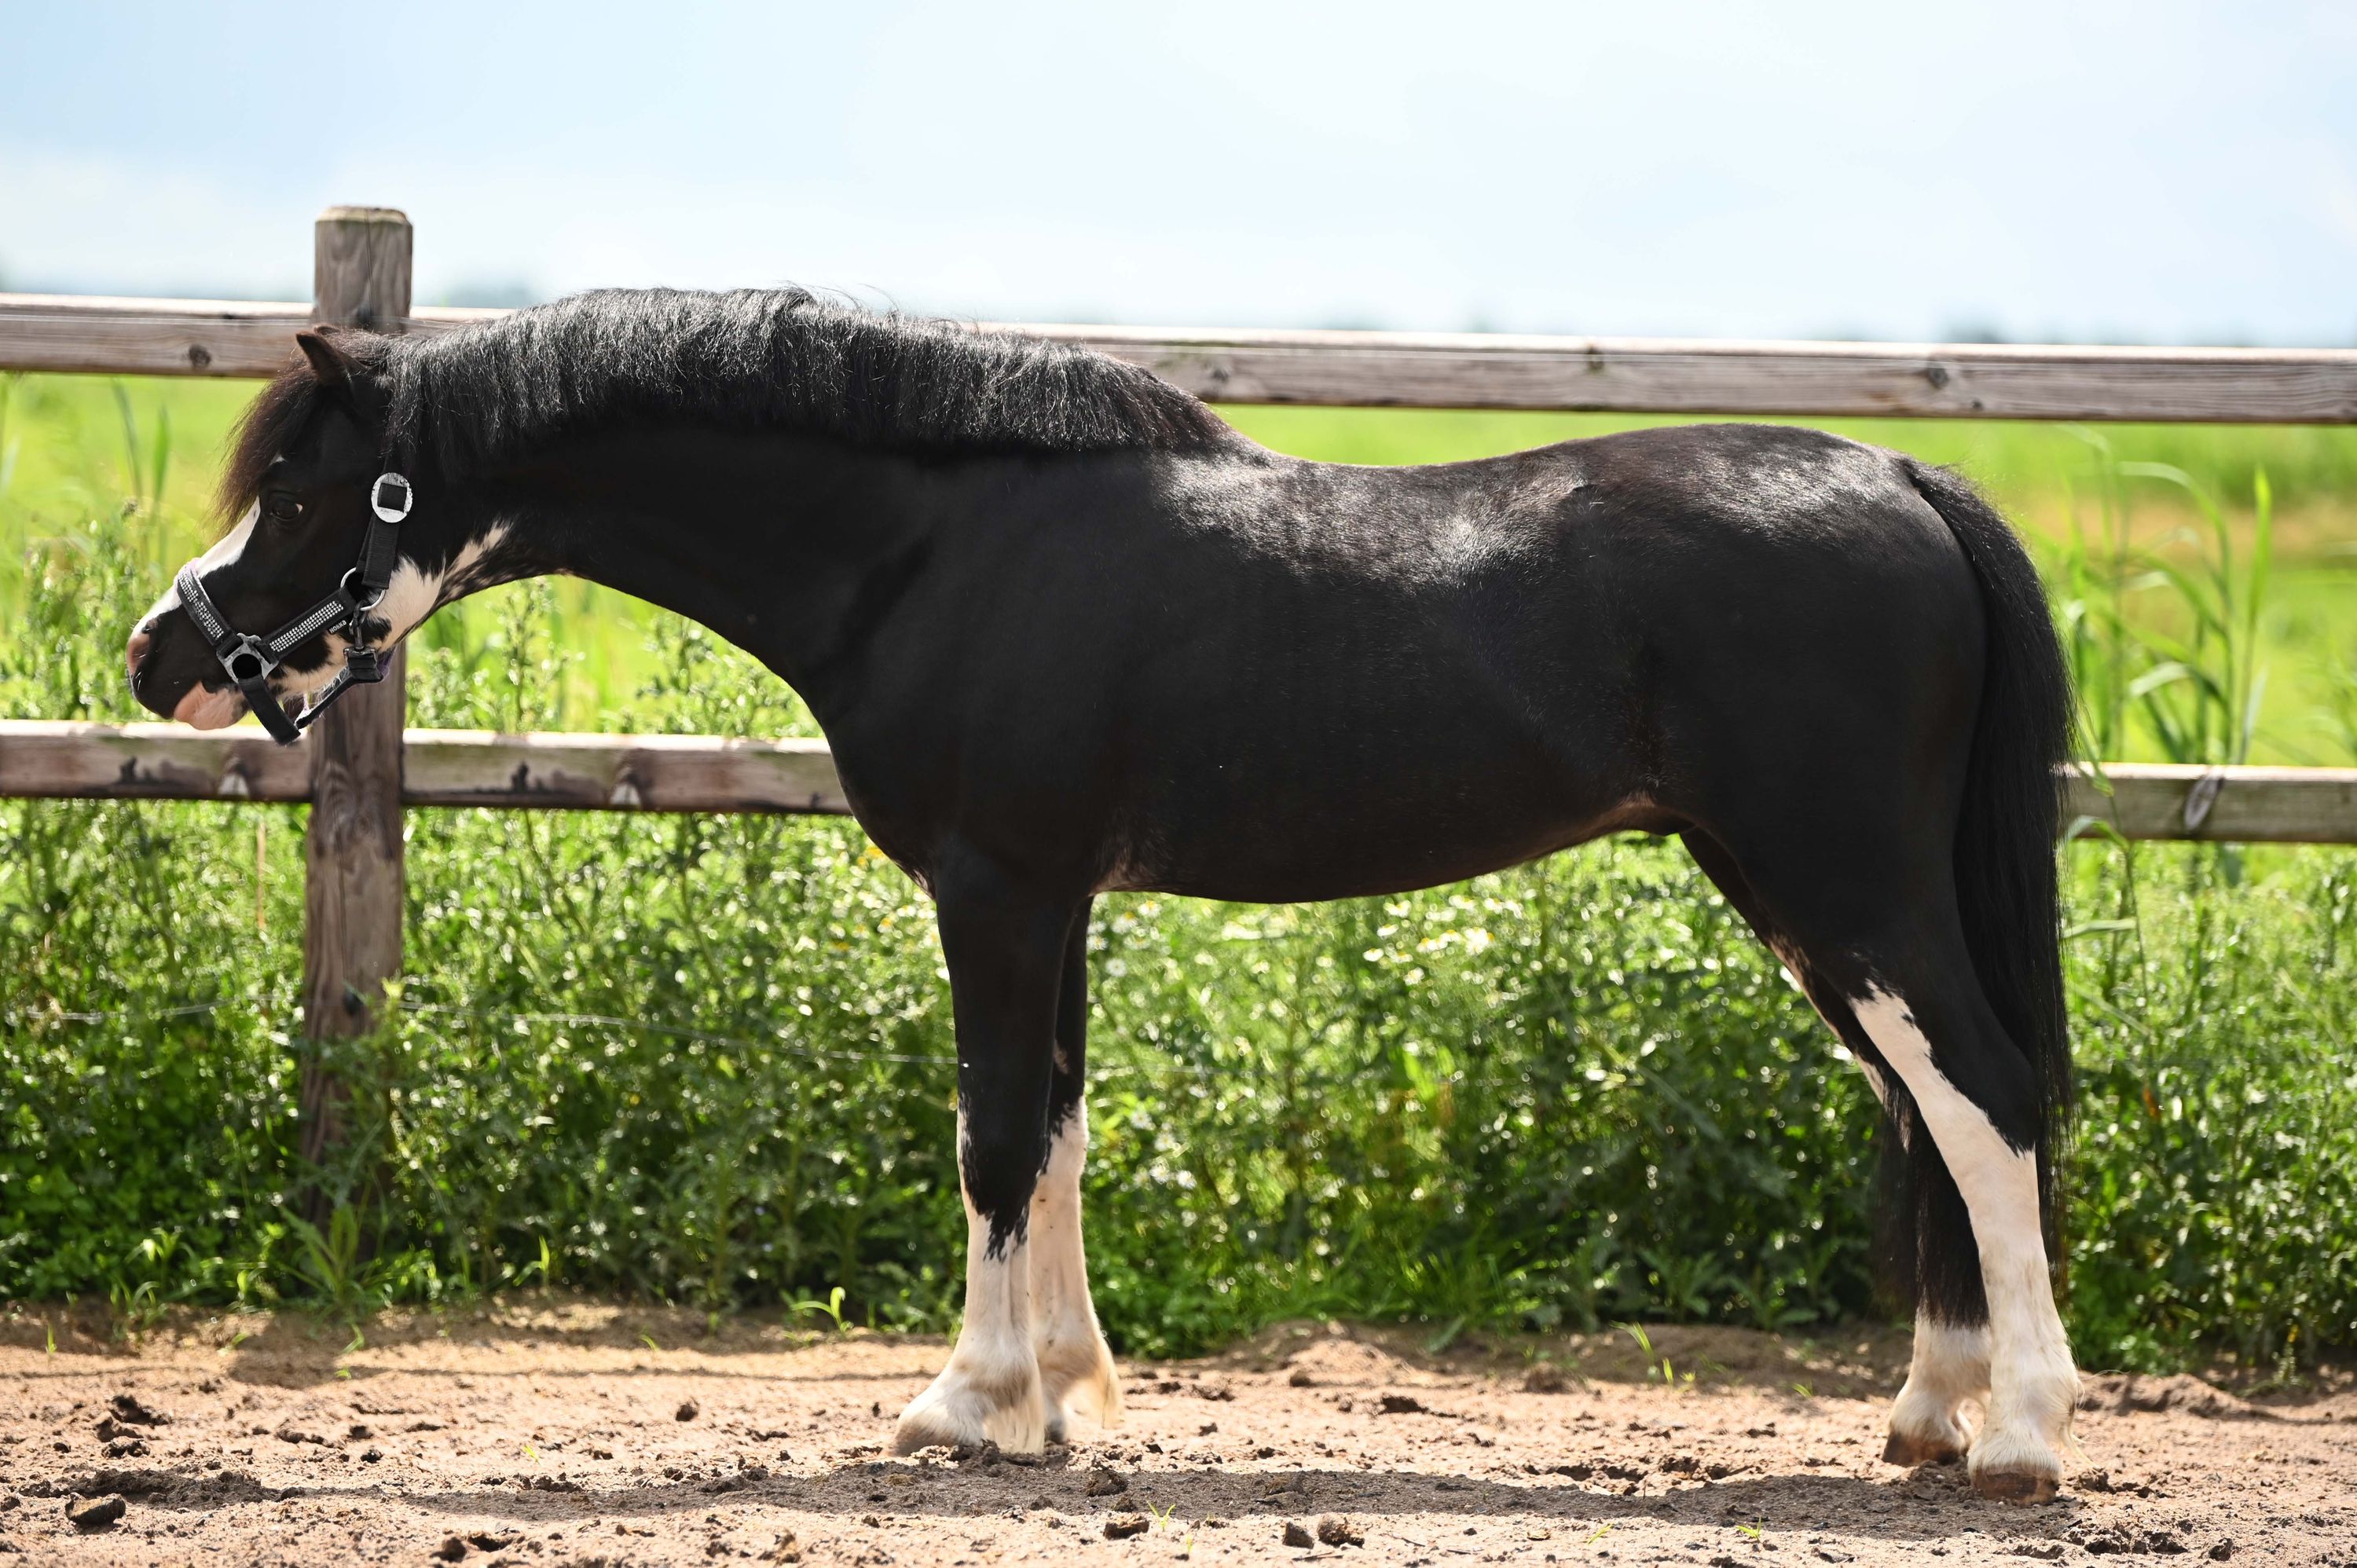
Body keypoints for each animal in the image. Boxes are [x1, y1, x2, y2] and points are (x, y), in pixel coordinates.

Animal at [125, 289, 2079, 1501]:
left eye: (298, 486)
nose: (162, 656)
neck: (935, 547)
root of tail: (1903, 474)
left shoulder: (995, 888)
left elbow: (992, 1134)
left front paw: (967, 1405)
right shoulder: (1055, 897)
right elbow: (1057, 1130)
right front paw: (1064, 1389)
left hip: (1850, 887)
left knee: (1984, 1098)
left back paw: (2025, 1436)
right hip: (1800, 897)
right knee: (1926, 1111)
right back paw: (1927, 1412)